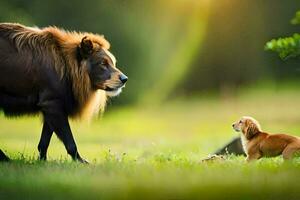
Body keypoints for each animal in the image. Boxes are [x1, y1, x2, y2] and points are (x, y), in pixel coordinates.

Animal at [0, 23, 127, 162]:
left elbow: (44, 141)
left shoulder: (51, 104)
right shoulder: (52, 103)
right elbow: (70, 141)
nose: (124, 79)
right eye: (103, 63)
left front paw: (42, 162)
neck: (67, 67)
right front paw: (81, 162)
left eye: (113, 63)